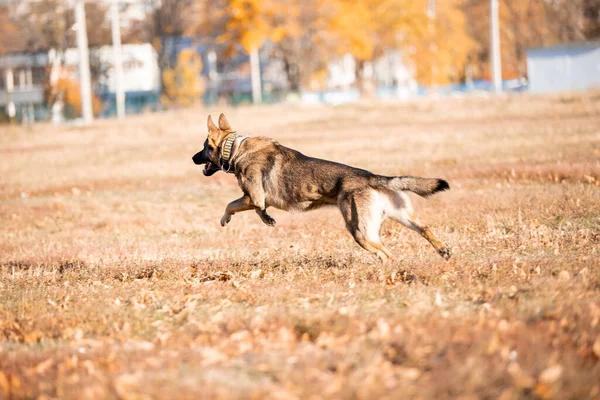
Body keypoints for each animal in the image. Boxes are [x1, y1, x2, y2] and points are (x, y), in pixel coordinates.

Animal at [192, 114, 450, 260]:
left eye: (203, 147)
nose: (192, 158)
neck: (234, 148)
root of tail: (371, 177)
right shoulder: (256, 198)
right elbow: (259, 208)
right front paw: (267, 219)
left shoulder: (252, 196)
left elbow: (231, 204)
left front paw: (225, 219)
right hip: (399, 215)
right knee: (424, 228)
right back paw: (443, 251)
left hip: (359, 231)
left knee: (386, 252)